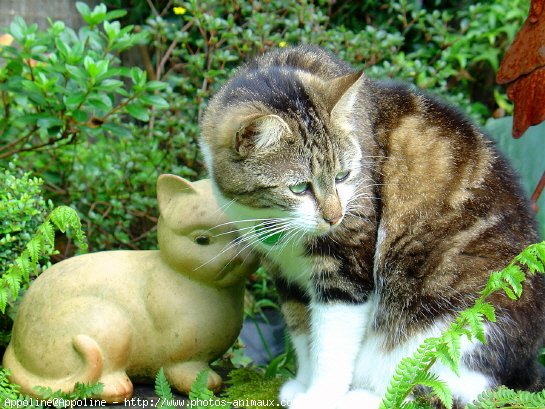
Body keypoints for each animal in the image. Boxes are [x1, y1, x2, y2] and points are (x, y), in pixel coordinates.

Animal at [199, 45, 544, 408]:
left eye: (343, 176)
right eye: (299, 188)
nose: (334, 217)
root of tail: (526, 365)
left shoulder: (347, 263)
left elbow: (332, 344)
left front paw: (320, 397)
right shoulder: (286, 275)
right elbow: (302, 330)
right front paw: (302, 384)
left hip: (459, 324)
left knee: (436, 389)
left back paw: (362, 397)